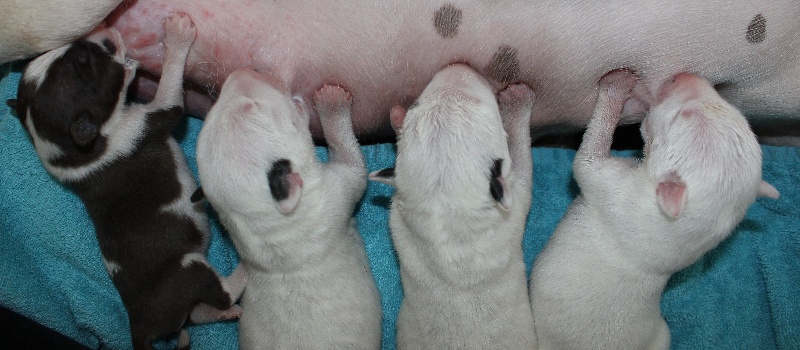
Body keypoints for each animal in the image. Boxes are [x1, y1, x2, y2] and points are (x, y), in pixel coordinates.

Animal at [6, 13, 244, 350]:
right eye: (85, 61)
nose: (104, 30)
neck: (73, 153)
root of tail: (139, 324)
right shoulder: (155, 116)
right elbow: (171, 82)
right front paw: (177, 33)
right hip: (186, 268)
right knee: (219, 292)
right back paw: (246, 271)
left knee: (196, 313)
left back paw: (225, 314)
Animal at [194, 69, 382, 350]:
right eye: (253, 105)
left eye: (215, 106)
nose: (241, 71)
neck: (270, 227)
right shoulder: (336, 190)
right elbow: (352, 160)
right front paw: (332, 102)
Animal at [370, 63, 536, 350]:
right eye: (489, 108)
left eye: (416, 104)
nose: (459, 66)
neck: (447, 220)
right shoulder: (516, 203)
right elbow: (522, 156)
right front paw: (518, 102)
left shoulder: (397, 217)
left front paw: (397, 118)